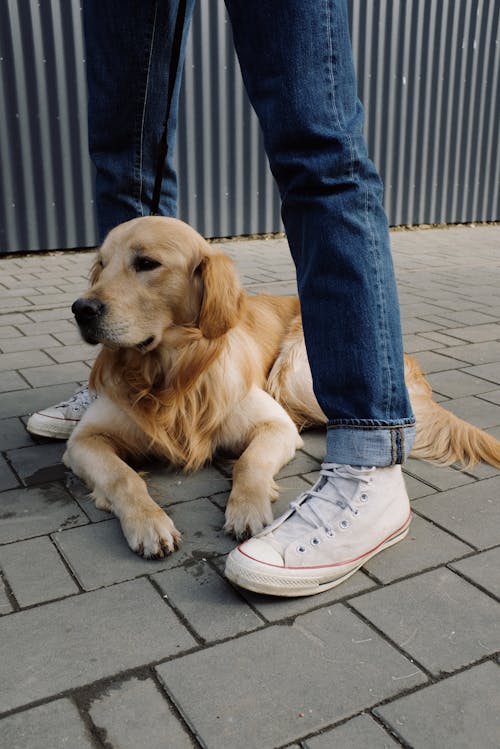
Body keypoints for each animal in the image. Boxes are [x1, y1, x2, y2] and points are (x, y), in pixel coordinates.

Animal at [64, 216, 500, 556]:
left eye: (146, 263)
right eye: (101, 264)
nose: (81, 309)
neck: (172, 374)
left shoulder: (275, 424)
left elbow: (250, 462)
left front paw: (247, 509)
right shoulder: (84, 441)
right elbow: (123, 476)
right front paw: (149, 523)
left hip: (295, 375)